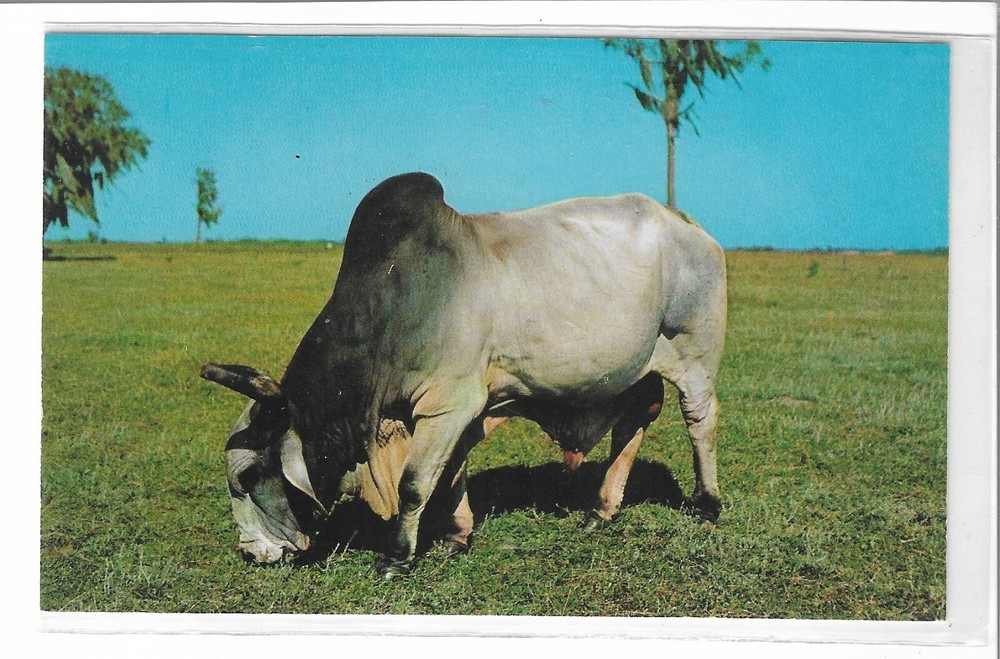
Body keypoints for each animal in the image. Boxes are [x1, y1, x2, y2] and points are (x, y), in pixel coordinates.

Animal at [201, 172, 727, 577]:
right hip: (637, 369)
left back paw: (707, 504)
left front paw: (396, 558)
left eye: (248, 476)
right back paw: (601, 510)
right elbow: (450, 472)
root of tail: (686, 223)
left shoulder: (448, 404)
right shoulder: (454, 412)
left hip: (694, 355)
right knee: (636, 418)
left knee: (699, 421)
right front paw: (455, 538)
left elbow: (415, 484)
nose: (251, 553)